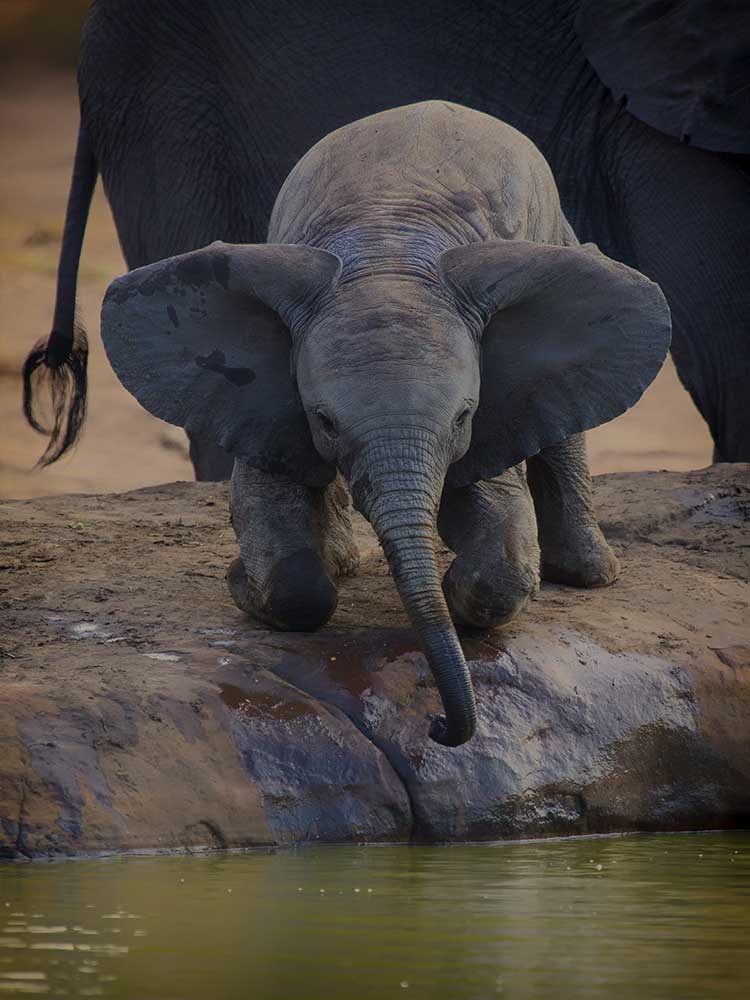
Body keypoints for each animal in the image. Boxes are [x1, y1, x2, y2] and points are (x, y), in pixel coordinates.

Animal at [99, 101, 671, 746]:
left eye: (463, 416)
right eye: (324, 419)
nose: (439, 728)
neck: (387, 257)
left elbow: (498, 538)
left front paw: (454, 593)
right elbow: (273, 518)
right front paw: (243, 583)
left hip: (557, 238)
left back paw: (588, 576)